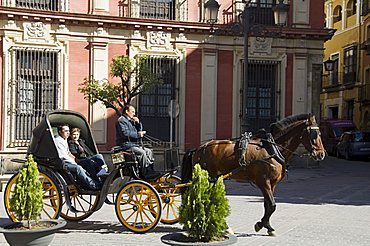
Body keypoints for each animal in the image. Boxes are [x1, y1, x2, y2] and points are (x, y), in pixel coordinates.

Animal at [181, 113, 324, 234]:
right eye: (314, 134)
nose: (321, 154)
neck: (272, 149)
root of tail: (198, 149)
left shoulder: (272, 184)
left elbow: (268, 205)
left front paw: (267, 225)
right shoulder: (263, 181)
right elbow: (272, 205)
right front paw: (260, 224)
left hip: (214, 179)